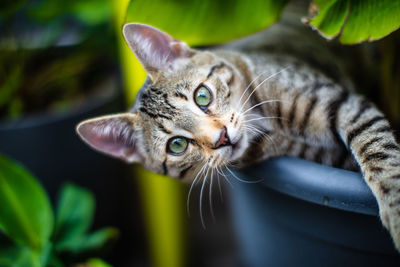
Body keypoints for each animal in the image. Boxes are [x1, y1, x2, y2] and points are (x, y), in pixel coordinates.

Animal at [75, 23, 400, 251]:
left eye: (202, 96)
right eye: (177, 145)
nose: (220, 138)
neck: (271, 128)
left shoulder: (342, 103)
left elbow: (378, 151)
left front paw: (395, 209)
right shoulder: (321, 155)